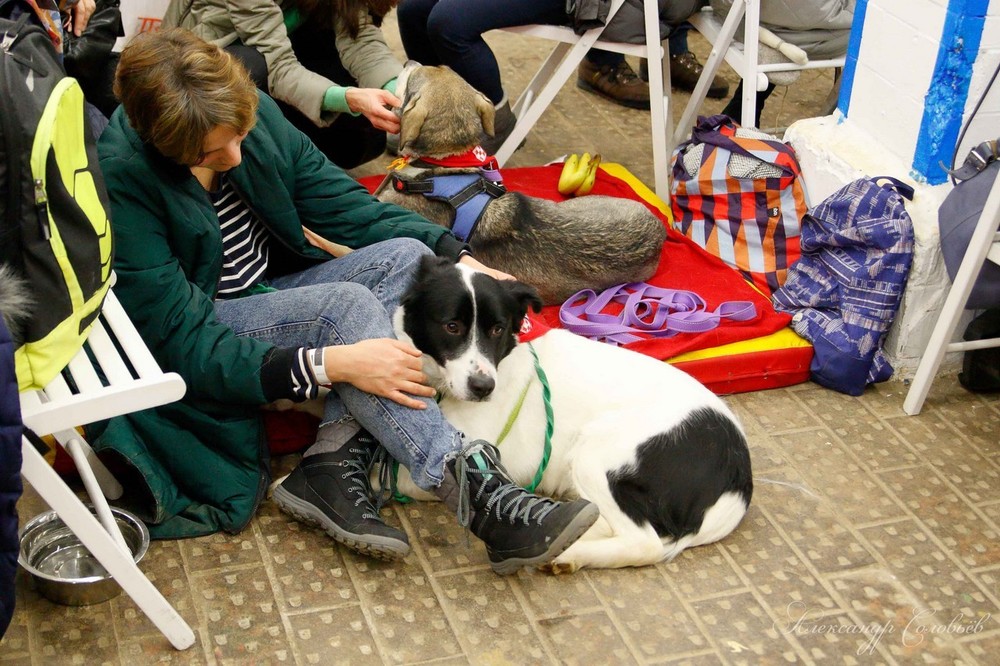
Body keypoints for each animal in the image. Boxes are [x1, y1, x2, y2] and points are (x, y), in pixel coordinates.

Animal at [394, 255, 752, 572]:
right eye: (452, 326)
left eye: (497, 329)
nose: (484, 387)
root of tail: (738, 479)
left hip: (599, 453)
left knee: (642, 542)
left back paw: (565, 553)